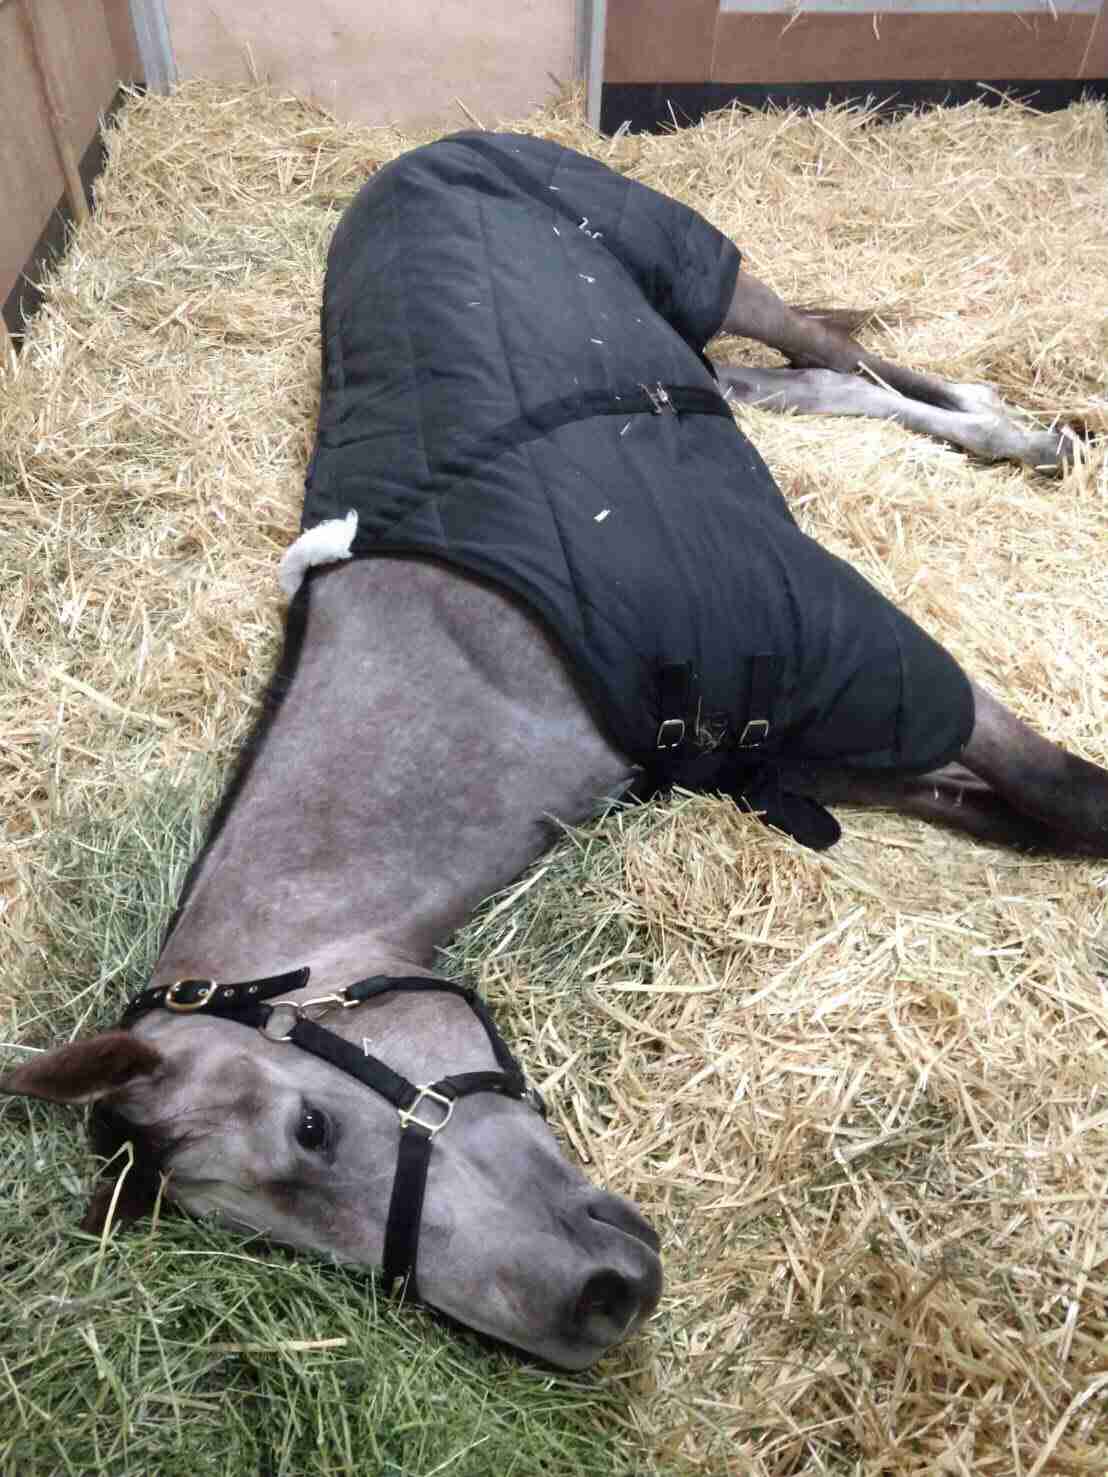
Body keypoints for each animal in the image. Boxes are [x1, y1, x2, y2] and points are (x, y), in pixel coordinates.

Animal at [3, 132, 1103, 1372]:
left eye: (311, 1126)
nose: (597, 1300)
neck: (488, 646)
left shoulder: (854, 649)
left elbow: (1072, 797)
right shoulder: (813, 753)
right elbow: (1018, 812)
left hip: (701, 265)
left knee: (838, 355)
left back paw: (1027, 434)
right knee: (797, 381)